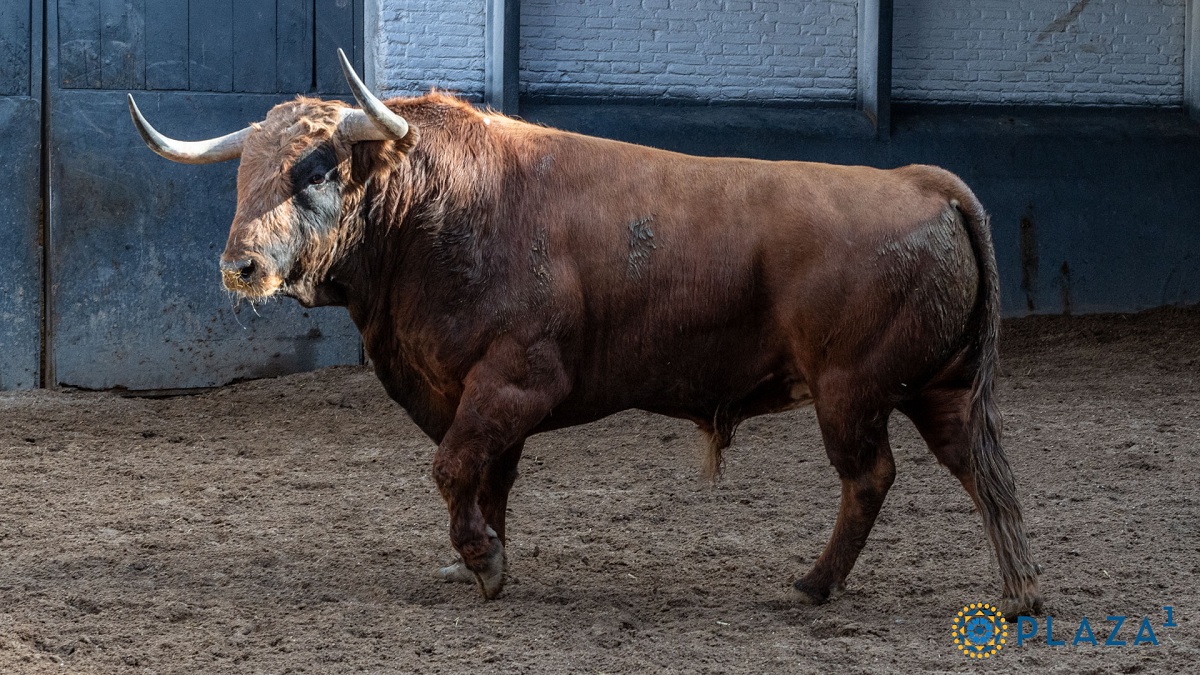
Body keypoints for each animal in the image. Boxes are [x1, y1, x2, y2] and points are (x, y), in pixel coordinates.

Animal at [129, 49, 1041, 612]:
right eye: (242, 173)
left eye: (315, 169)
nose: (241, 265)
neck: (436, 207)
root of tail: (922, 182)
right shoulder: (478, 393)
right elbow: (487, 476)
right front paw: (482, 554)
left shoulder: (514, 381)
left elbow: (453, 466)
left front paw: (485, 560)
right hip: (937, 389)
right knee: (983, 471)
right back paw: (1019, 590)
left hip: (851, 393)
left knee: (871, 478)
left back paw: (817, 583)